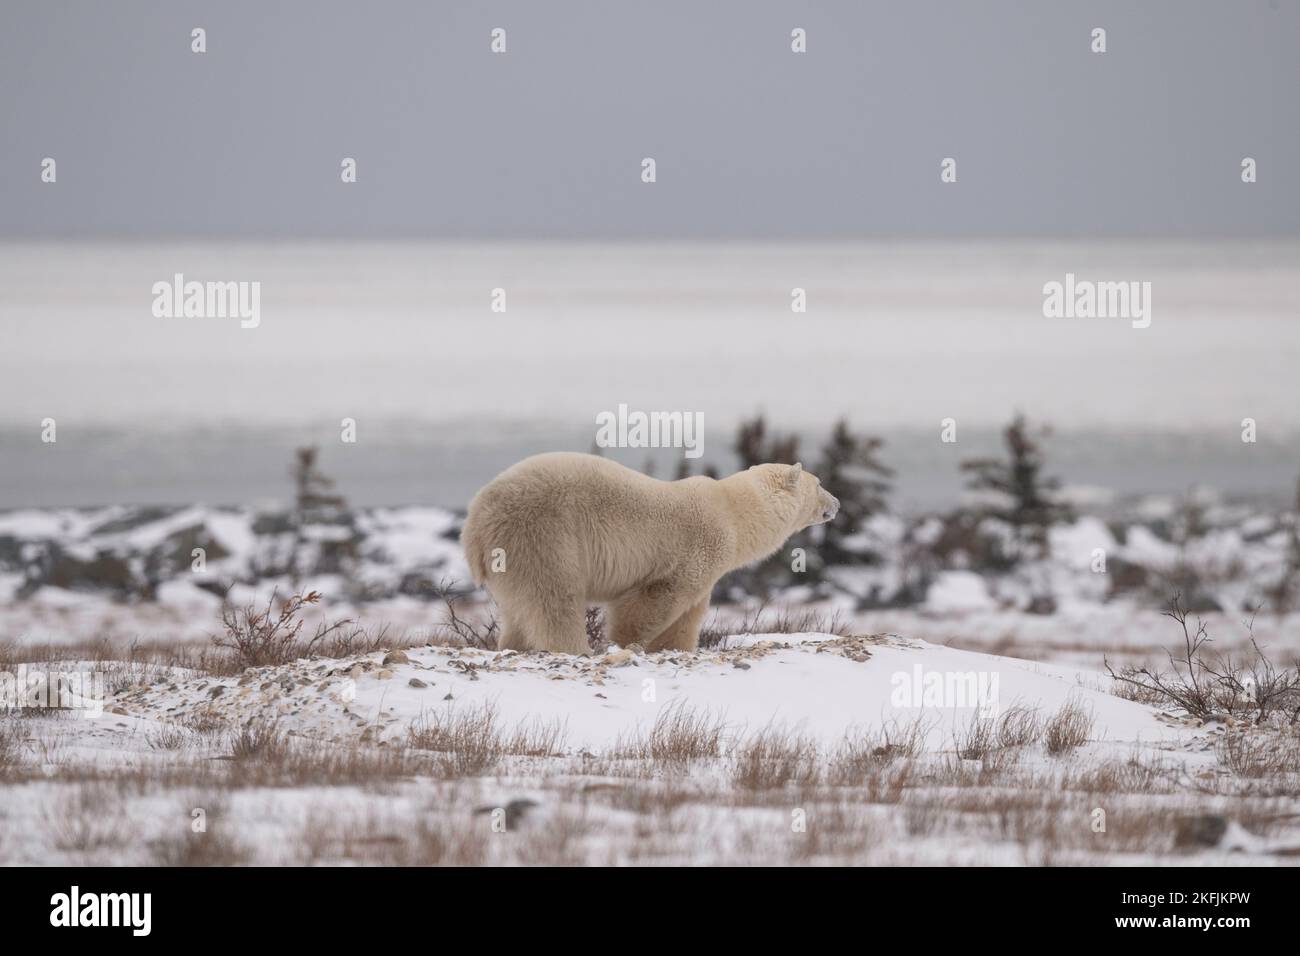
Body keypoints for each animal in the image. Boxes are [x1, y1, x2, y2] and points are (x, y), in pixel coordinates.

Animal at [462, 452, 837, 655]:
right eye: (819, 483)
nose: (836, 504)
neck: (734, 514)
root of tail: (476, 519)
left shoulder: (706, 575)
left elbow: (687, 618)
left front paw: (675, 647)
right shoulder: (692, 552)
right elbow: (652, 602)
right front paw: (626, 643)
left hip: (512, 557)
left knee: (520, 609)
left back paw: (514, 645)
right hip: (543, 534)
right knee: (553, 599)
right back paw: (576, 648)